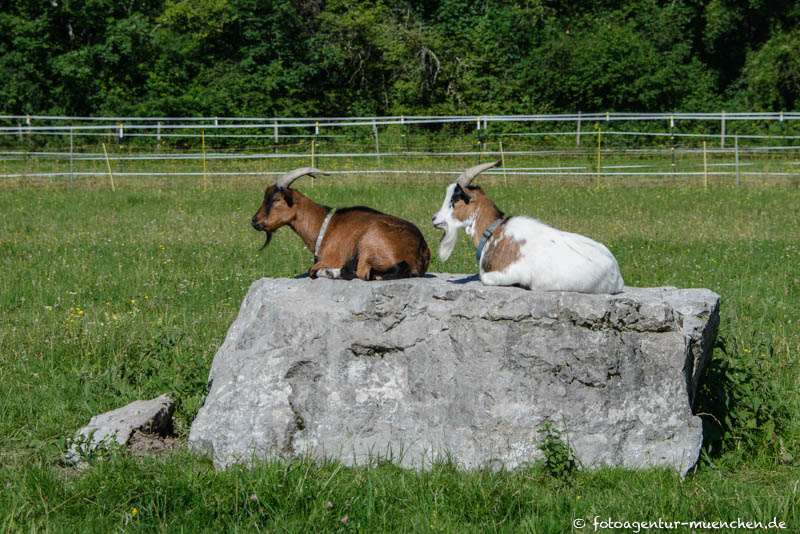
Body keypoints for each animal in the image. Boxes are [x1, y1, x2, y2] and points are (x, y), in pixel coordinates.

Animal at [251, 167, 430, 280]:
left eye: (276, 199)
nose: (254, 221)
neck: (323, 227)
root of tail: (418, 251)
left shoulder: (330, 258)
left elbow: (311, 270)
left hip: (369, 245)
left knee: (362, 274)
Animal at [431, 161, 624, 293]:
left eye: (454, 199)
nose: (434, 219)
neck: (493, 233)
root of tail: (617, 275)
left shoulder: (506, 273)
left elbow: (485, 278)